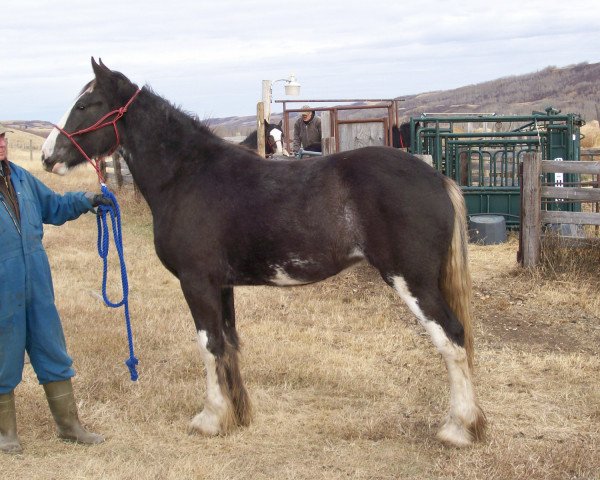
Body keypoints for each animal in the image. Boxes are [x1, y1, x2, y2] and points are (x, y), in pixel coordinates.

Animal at [39, 59, 486, 446]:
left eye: (85, 105)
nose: (47, 156)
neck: (187, 175)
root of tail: (438, 178)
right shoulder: (221, 286)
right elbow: (229, 343)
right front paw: (238, 415)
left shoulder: (196, 283)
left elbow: (209, 346)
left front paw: (210, 419)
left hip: (412, 282)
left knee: (452, 338)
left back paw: (458, 429)